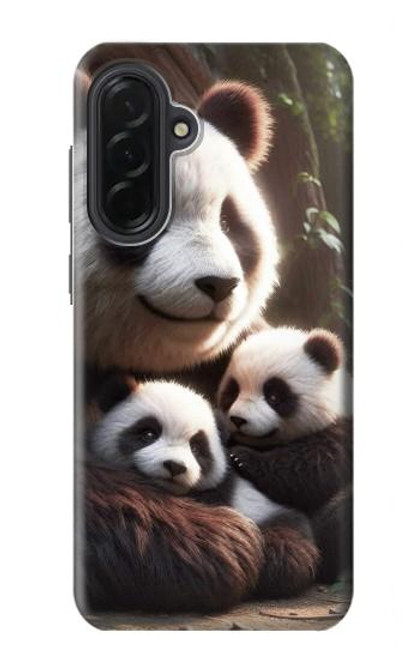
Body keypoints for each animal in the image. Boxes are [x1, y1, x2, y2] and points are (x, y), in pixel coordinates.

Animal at [217, 326, 353, 581]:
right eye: (233, 391)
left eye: (274, 396)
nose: (238, 420)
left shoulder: (342, 432)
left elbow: (310, 468)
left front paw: (241, 458)